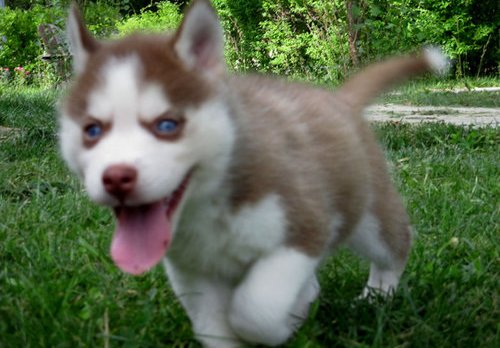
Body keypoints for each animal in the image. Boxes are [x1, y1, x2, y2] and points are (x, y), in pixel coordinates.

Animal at [59, 0, 450, 346]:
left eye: (167, 125)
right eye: (92, 130)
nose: (116, 178)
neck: (210, 206)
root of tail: (339, 99)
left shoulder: (302, 229)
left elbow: (255, 311)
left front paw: (290, 318)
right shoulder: (190, 269)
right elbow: (214, 329)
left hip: (367, 214)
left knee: (394, 246)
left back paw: (376, 296)